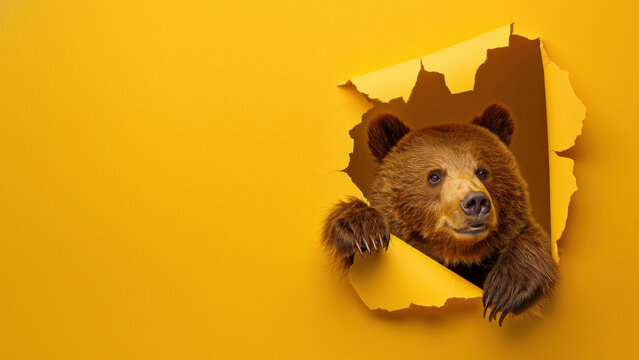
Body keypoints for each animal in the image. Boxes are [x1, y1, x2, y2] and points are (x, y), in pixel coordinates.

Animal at [322, 102, 556, 324]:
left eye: (482, 171)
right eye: (434, 176)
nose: (476, 201)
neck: (459, 257)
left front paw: (505, 290)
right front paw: (363, 231)